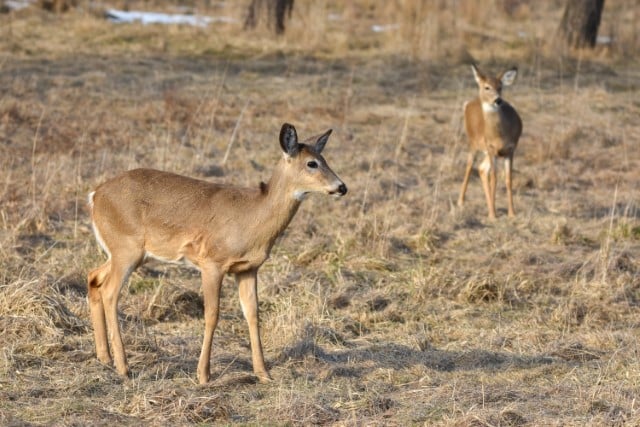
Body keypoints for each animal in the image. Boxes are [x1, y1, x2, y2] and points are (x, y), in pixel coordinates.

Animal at [87, 121, 348, 384]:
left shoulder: (248, 268)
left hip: (128, 253)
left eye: (324, 158)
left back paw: (105, 357)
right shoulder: (211, 262)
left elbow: (252, 314)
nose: (342, 187)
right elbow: (212, 314)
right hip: (126, 249)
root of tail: (95, 195)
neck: (253, 218)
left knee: (94, 277)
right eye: (311, 163)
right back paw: (123, 367)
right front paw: (203, 374)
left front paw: (263, 373)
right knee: (110, 292)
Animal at [458, 63, 524, 221]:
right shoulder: (491, 148)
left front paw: (511, 213)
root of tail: (468, 103)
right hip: (473, 142)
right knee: (470, 166)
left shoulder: (510, 149)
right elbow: (494, 179)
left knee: (482, 169)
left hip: (486, 151)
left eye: (500, 87)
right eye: (487, 87)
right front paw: (493, 215)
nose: (498, 100)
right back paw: (461, 201)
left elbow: (508, 179)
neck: (499, 135)